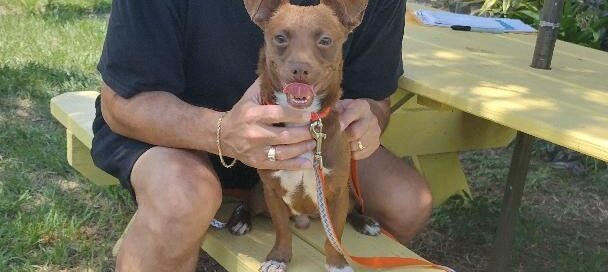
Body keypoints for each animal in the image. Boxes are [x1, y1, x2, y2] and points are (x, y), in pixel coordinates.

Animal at [238, 0, 380, 272]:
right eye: (280, 38)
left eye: (325, 41)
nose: (300, 69)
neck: (303, 120)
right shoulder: (272, 192)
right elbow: (282, 230)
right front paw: (278, 257)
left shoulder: (337, 192)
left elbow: (334, 237)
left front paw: (337, 263)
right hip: (259, 196)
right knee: (248, 204)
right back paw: (240, 219)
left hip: (349, 194)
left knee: (352, 209)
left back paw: (365, 221)